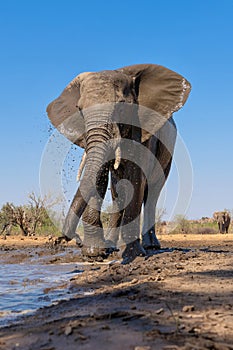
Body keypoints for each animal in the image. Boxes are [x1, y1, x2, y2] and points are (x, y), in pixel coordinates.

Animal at [46, 64, 191, 264]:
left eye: (122, 108)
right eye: (80, 109)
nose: (61, 239)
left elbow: (135, 176)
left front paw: (133, 254)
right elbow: (99, 178)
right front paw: (94, 253)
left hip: (168, 150)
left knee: (153, 191)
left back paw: (151, 246)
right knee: (117, 191)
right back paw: (111, 244)